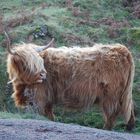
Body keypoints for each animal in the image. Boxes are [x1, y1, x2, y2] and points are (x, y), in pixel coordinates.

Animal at [6, 36, 135, 130]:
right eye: (26, 63)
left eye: (38, 61)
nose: (43, 74)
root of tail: (121, 49)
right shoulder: (47, 98)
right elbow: (49, 114)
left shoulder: (38, 96)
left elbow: (38, 112)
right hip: (123, 94)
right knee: (130, 111)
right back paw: (129, 128)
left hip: (111, 96)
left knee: (112, 114)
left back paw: (107, 129)